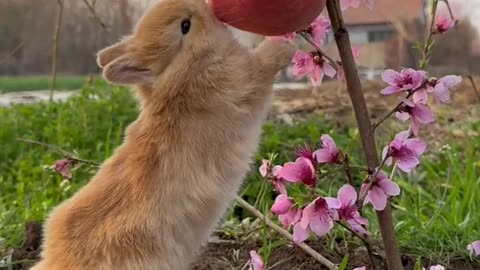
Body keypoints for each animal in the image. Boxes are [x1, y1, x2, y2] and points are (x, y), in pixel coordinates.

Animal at [31, 0, 294, 270]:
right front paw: (284, 44)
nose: (205, 6)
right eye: (185, 26)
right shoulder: (245, 80)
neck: (185, 69)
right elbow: (265, 63)